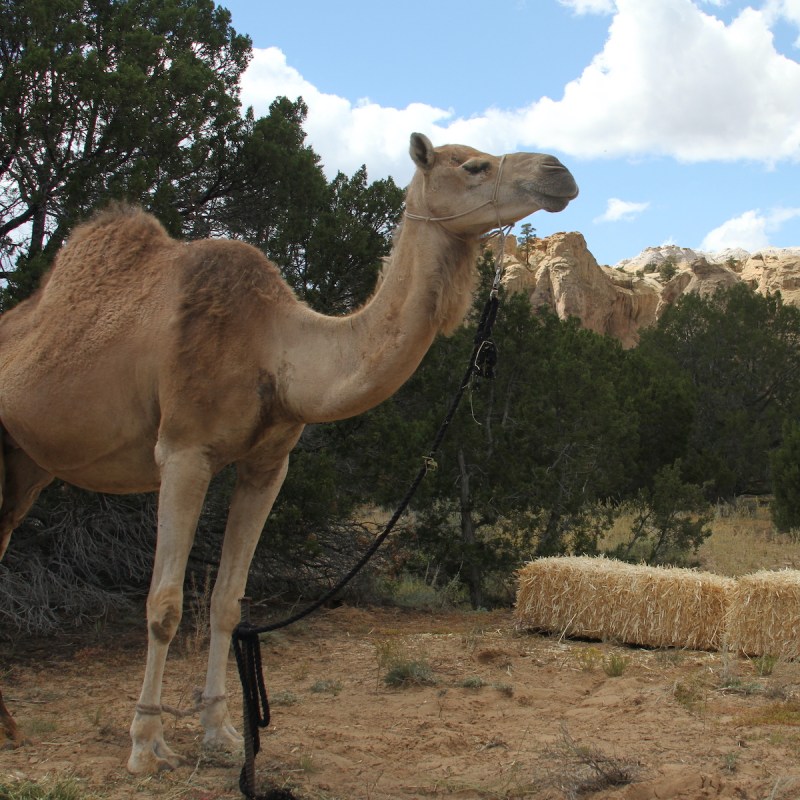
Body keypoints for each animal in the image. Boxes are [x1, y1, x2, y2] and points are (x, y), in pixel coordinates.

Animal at [0, 133, 580, 776]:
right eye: (474, 165)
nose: (560, 172)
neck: (275, 351)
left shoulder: (268, 464)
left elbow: (228, 602)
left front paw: (222, 734)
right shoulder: (184, 450)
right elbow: (164, 605)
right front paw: (147, 745)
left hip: (28, 462)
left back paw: (11, 728)